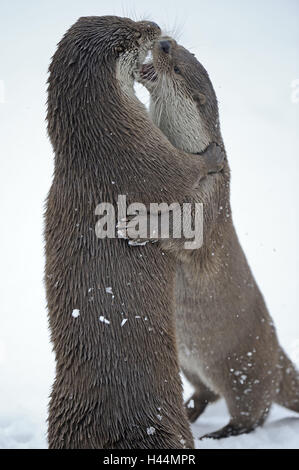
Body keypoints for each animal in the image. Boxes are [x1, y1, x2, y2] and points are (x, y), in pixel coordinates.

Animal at [44, 16, 225, 450]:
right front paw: (210, 155)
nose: (155, 27)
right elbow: (185, 174)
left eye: (122, 18)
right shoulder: (147, 158)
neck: (104, 145)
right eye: (133, 36)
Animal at [137, 38, 299, 438]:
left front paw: (137, 224)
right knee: (206, 393)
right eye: (176, 46)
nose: (163, 41)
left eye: (176, 65)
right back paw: (188, 412)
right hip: (190, 362)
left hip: (244, 369)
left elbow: (180, 231)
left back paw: (221, 432)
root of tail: (278, 357)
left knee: (253, 412)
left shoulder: (206, 201)